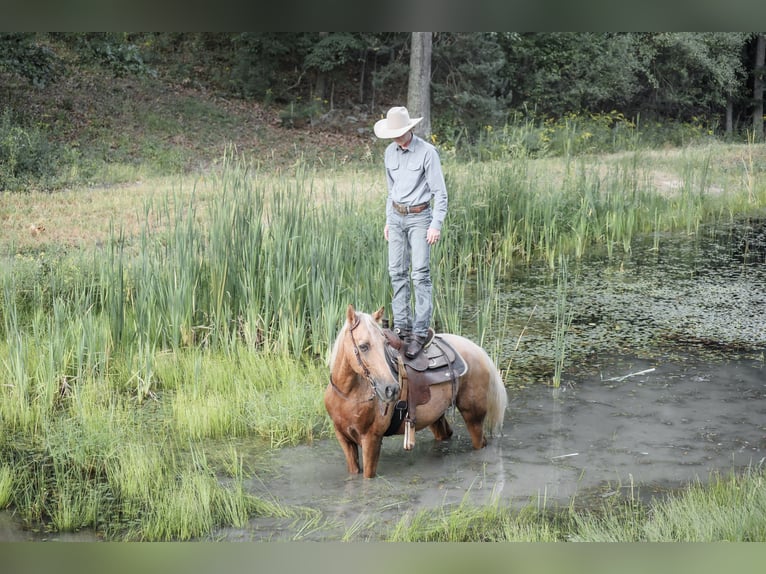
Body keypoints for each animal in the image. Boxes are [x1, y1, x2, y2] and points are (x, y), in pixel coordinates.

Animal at [324, 304, 508, 478]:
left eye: (385, 345)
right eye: (363, 346)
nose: (391, 388)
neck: (349, 395)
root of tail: (478, 350)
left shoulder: (371, 439)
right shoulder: (344, 440)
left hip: (473, 417)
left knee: (480, 441)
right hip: (435, 417)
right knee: (445, 434)